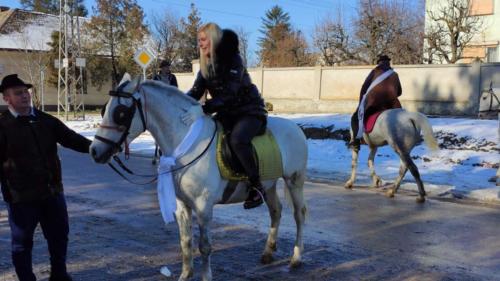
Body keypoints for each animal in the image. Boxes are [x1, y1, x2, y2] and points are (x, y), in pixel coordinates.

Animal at [90, 75, 308, 278]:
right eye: (104, 110)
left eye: (120, 113)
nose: (94, 150)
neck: (185, 143)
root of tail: (296, 128)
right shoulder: (181, 204)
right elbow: (186, 242)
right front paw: (186, 274)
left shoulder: (203, 207)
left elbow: (204, 246)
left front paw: (205, 276)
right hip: (268, 184)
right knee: (276, 211)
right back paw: (268, 252)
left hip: (294, 181)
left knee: (299, 215)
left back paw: (296, 258)